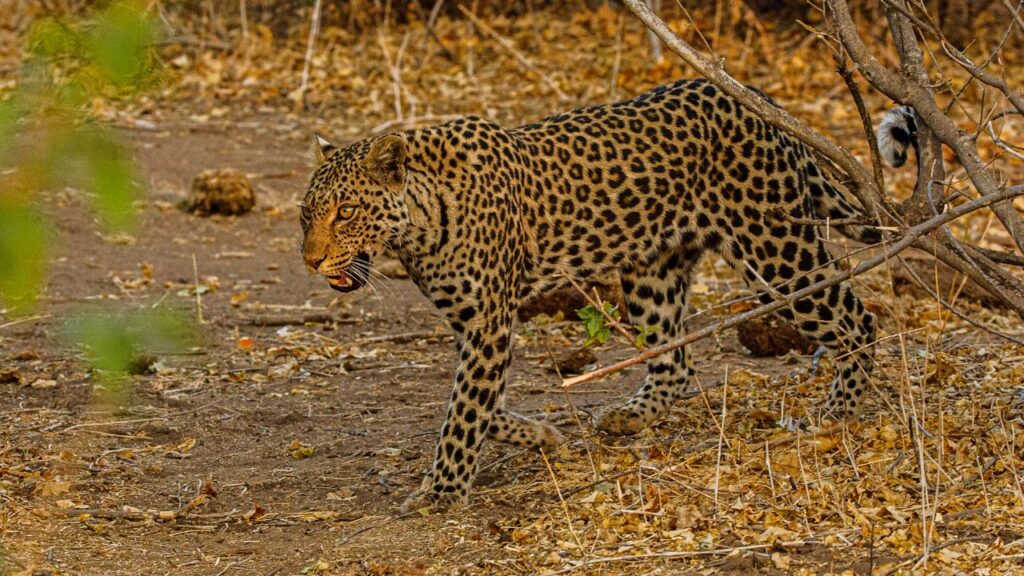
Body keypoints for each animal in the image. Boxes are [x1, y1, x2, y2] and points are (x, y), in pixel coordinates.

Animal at [299, 79, 881, 512]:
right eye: (307, 214)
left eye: (346, 212)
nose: (311, 261)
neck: (419, 226)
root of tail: (757, 100)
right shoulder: (473, 324)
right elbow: (481, 401)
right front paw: (538, 436)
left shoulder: (488, 322)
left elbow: (465, 409)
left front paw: (442, 490)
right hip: (652, 271)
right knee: (675, 362)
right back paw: (630, 416)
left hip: (776, 250)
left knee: (858, 319)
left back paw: (839, 411)